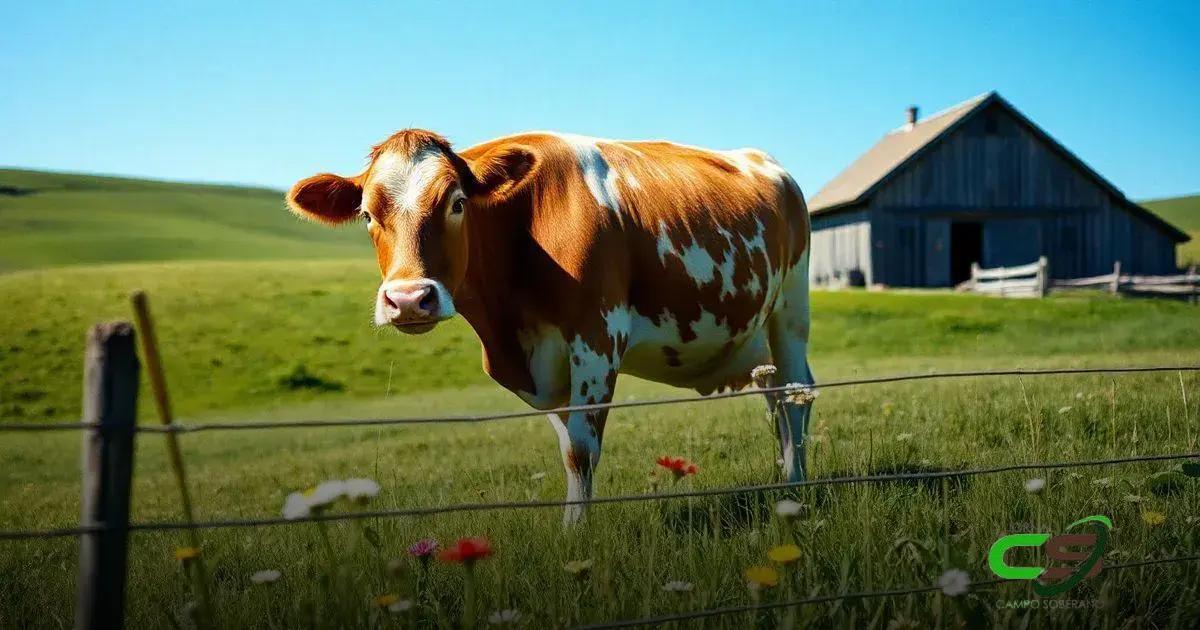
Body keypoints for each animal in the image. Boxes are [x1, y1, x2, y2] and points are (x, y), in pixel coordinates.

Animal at [286, 129, 814, 523]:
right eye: (367, 214)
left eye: (457, 203)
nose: (410, 299)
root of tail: (767, 162)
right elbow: (566, 449)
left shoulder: (597, 339)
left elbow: (581, 450)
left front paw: (575, 533)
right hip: (757, 342)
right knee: (775, 398)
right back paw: (784, 477)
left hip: (791, 307)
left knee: (797, 394)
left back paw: (795, 489)